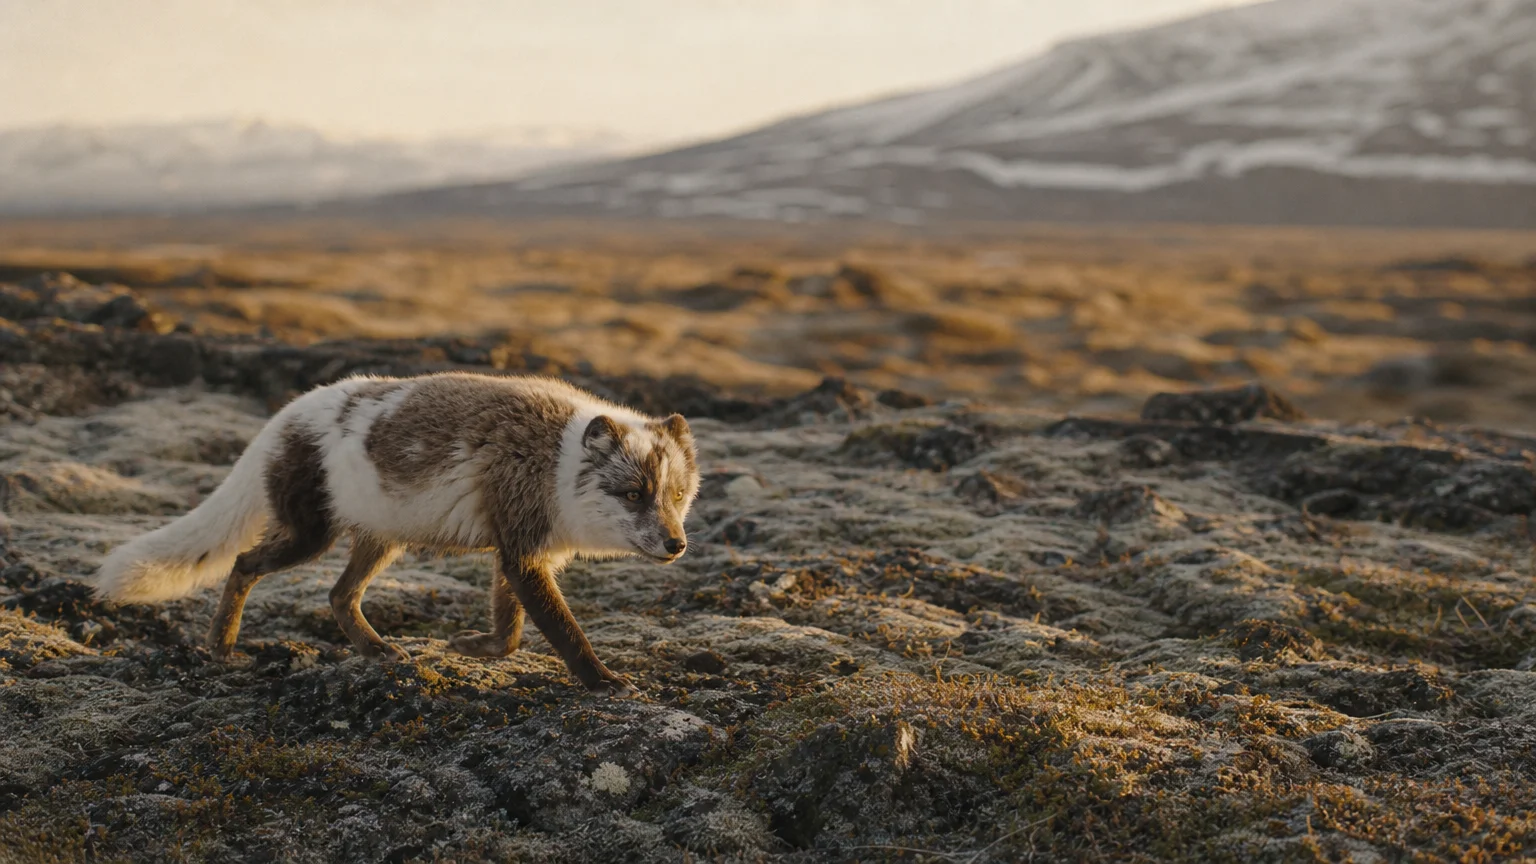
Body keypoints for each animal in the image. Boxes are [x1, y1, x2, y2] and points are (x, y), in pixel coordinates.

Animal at [90, 371, 701, 697]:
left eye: (676, 495)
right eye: (633, 494)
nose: (677, 546)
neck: (555, 460)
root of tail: (283, 417)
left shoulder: (519, 550)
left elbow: (509, 629)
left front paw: (471, 647)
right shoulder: (523, 550)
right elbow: (565, 632)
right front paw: (604, 681)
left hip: (380, 539)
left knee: (338, 595)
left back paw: (377, 650)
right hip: (312, 533)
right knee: (244, 563)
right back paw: (222, 646)